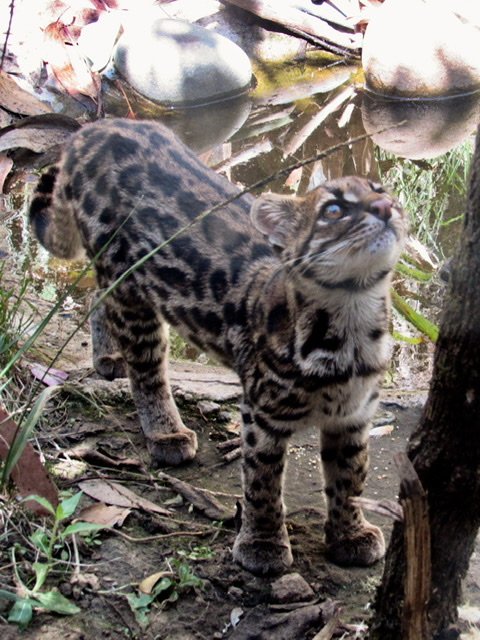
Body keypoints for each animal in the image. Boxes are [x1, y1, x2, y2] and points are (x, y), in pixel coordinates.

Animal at [29, 119, 404, 576]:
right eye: (333, 210)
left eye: (380, 189)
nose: (385, 207)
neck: (353, 314)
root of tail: (99, 126)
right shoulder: (261, 413)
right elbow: (262, 480)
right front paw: (262, 543)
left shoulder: (353, 415)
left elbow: (351, 477)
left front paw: (350, 534)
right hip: (129, 279)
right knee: (147, 369)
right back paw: (165, 430)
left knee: (99, 298)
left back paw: (108, 355)